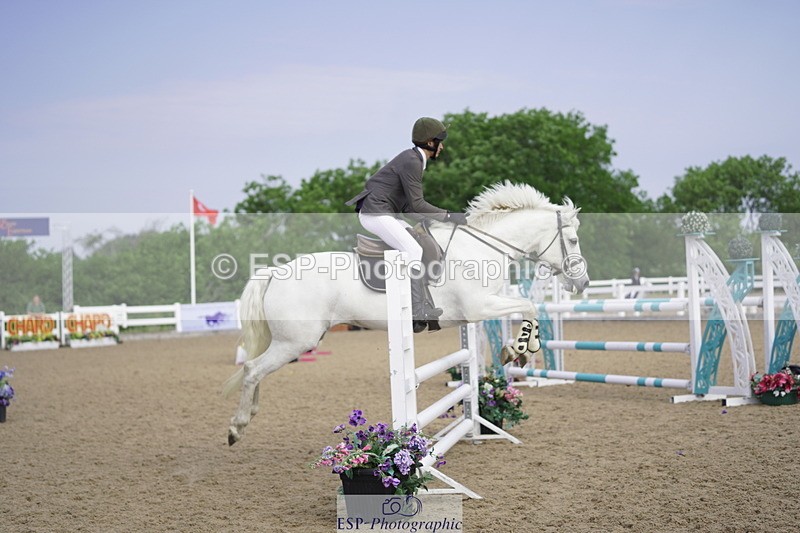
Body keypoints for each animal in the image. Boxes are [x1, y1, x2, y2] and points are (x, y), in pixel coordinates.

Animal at [224, 181, 590, 445]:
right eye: (572, 240)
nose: (582, 282)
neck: (480, 248)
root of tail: (275, 271)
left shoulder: (478, 311)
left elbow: (525, 309)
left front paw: (516, 350)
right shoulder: (479, 306)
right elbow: (529, 306)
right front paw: (523, 348)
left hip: (292, 341)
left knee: (256, 369)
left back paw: (248, 416)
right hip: (297, 342)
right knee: (253, 369)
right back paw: (237, 427)